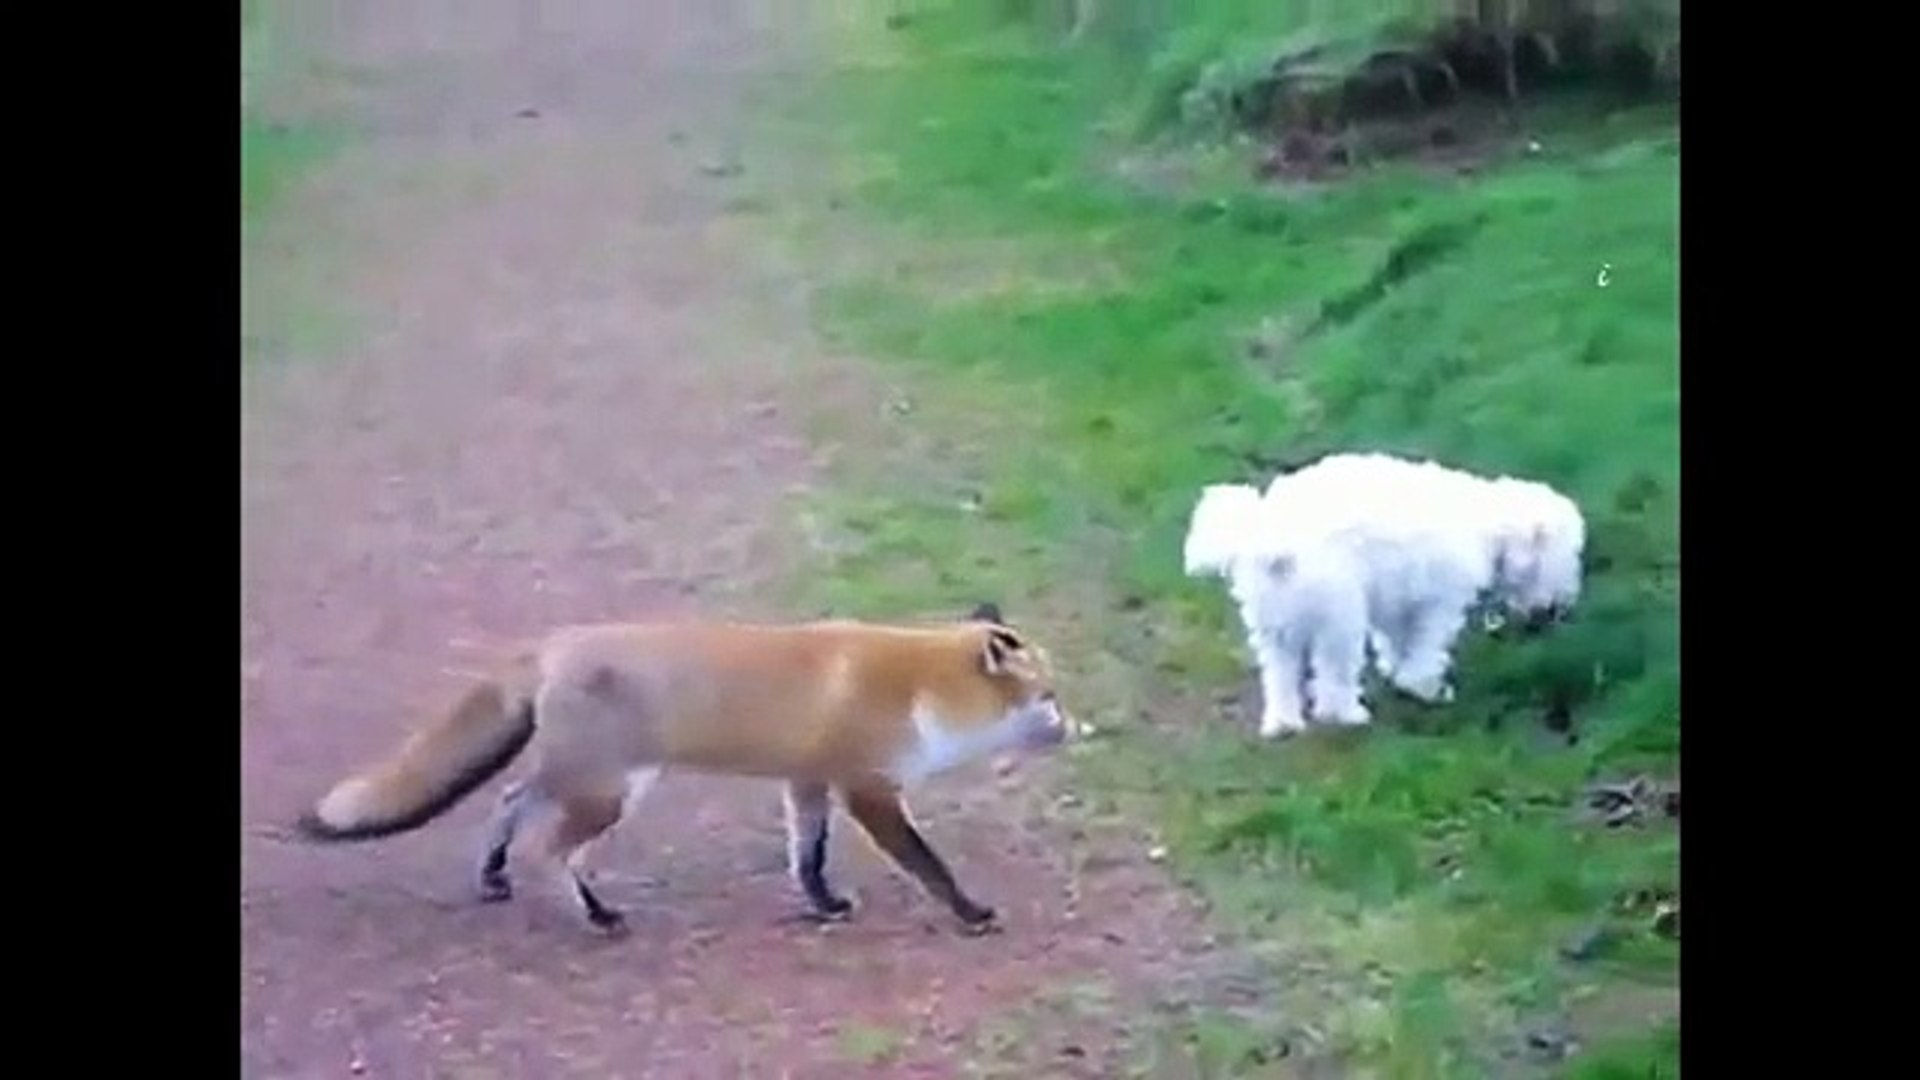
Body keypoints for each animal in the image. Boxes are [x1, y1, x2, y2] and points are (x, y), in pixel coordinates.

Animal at [292, 602, 1077, 937]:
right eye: (1050, 697)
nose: (1081, 729)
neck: (919, 692)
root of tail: (553, 643)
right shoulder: (869, 790)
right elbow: (929, 865)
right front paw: (971, 913)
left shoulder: (809, 783)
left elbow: (808, 859)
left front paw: (822, 907)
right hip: (610, 793)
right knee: (548, 847)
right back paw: (597, 916)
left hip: (581, 780)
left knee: (510, 799)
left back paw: (492, 878)